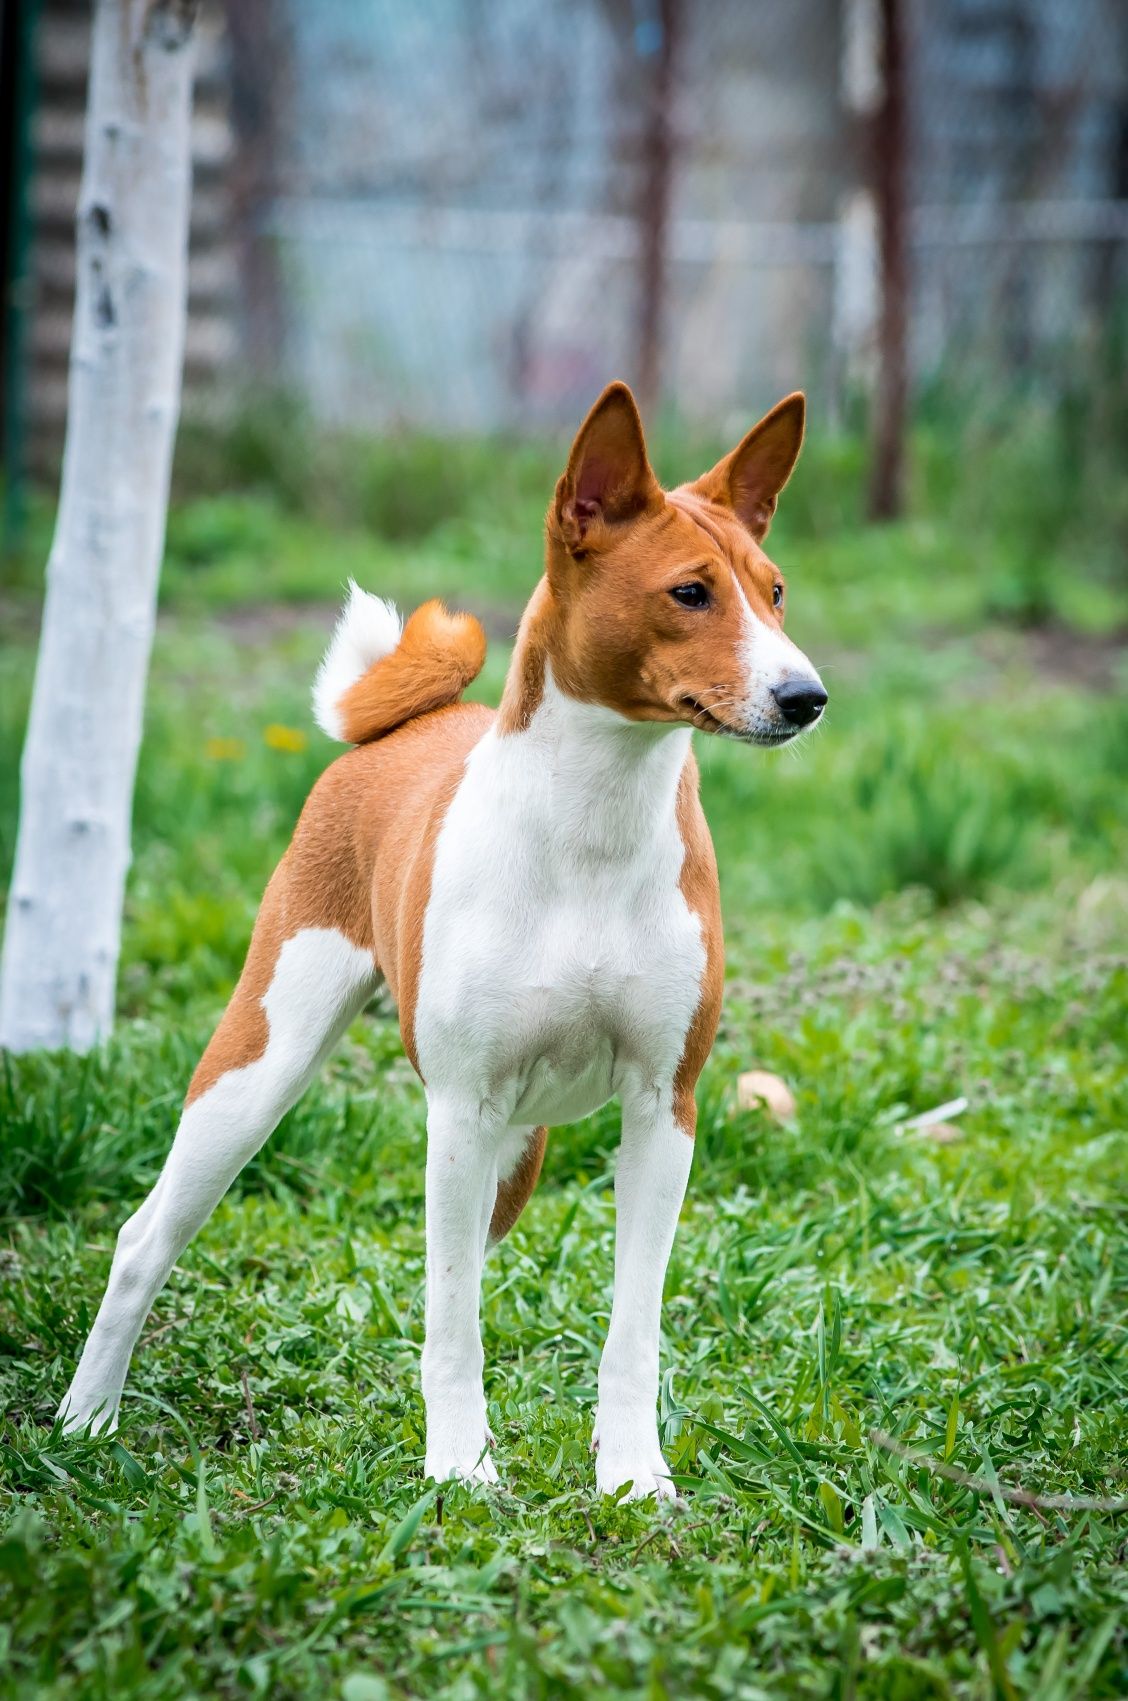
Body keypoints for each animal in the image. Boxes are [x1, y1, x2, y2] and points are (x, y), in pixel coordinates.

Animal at [61, 386, 830, 1503]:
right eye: (691, 593)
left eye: (774, 594)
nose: (806, 696)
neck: (593, 826)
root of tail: (400, 729)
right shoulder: (461, 1110)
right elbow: (454, 1319)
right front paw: (462, 1467)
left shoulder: (663, 1108)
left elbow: (630, 1327)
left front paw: (633, 1475)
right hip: (259, 1070)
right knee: (144, 1237)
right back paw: (87, 1415)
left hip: (514, 1153)